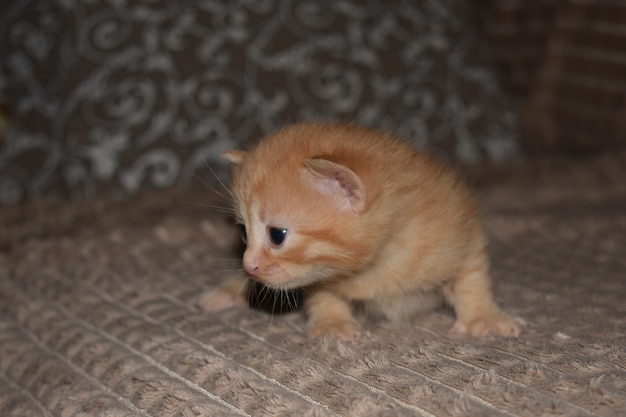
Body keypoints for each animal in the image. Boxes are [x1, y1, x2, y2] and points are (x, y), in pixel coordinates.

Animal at [199, 122, 516, 340]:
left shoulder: (461, 225)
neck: (375, 266)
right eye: (243, 232)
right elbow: (322, 293)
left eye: (277, 235)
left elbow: (471, 274)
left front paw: (482, 316)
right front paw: (331, 323)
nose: (248, 265)